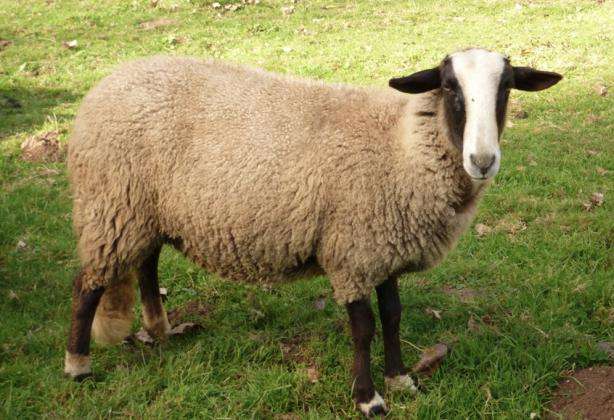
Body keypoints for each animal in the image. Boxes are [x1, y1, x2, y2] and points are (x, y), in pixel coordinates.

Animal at [63, 47, 564, 416]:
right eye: (447, 86)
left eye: (507, 87)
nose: (482, 160)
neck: (400, 147)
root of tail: (106, 83)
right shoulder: (352, 253)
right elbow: (363, 327)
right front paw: (369, 399)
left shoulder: (383, 247)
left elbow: (394, 314)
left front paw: (402, 379)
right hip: (112, 205)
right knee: (88, 284)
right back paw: (77, 364)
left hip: (144, 210)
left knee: (146, 263)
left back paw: (161, 329)